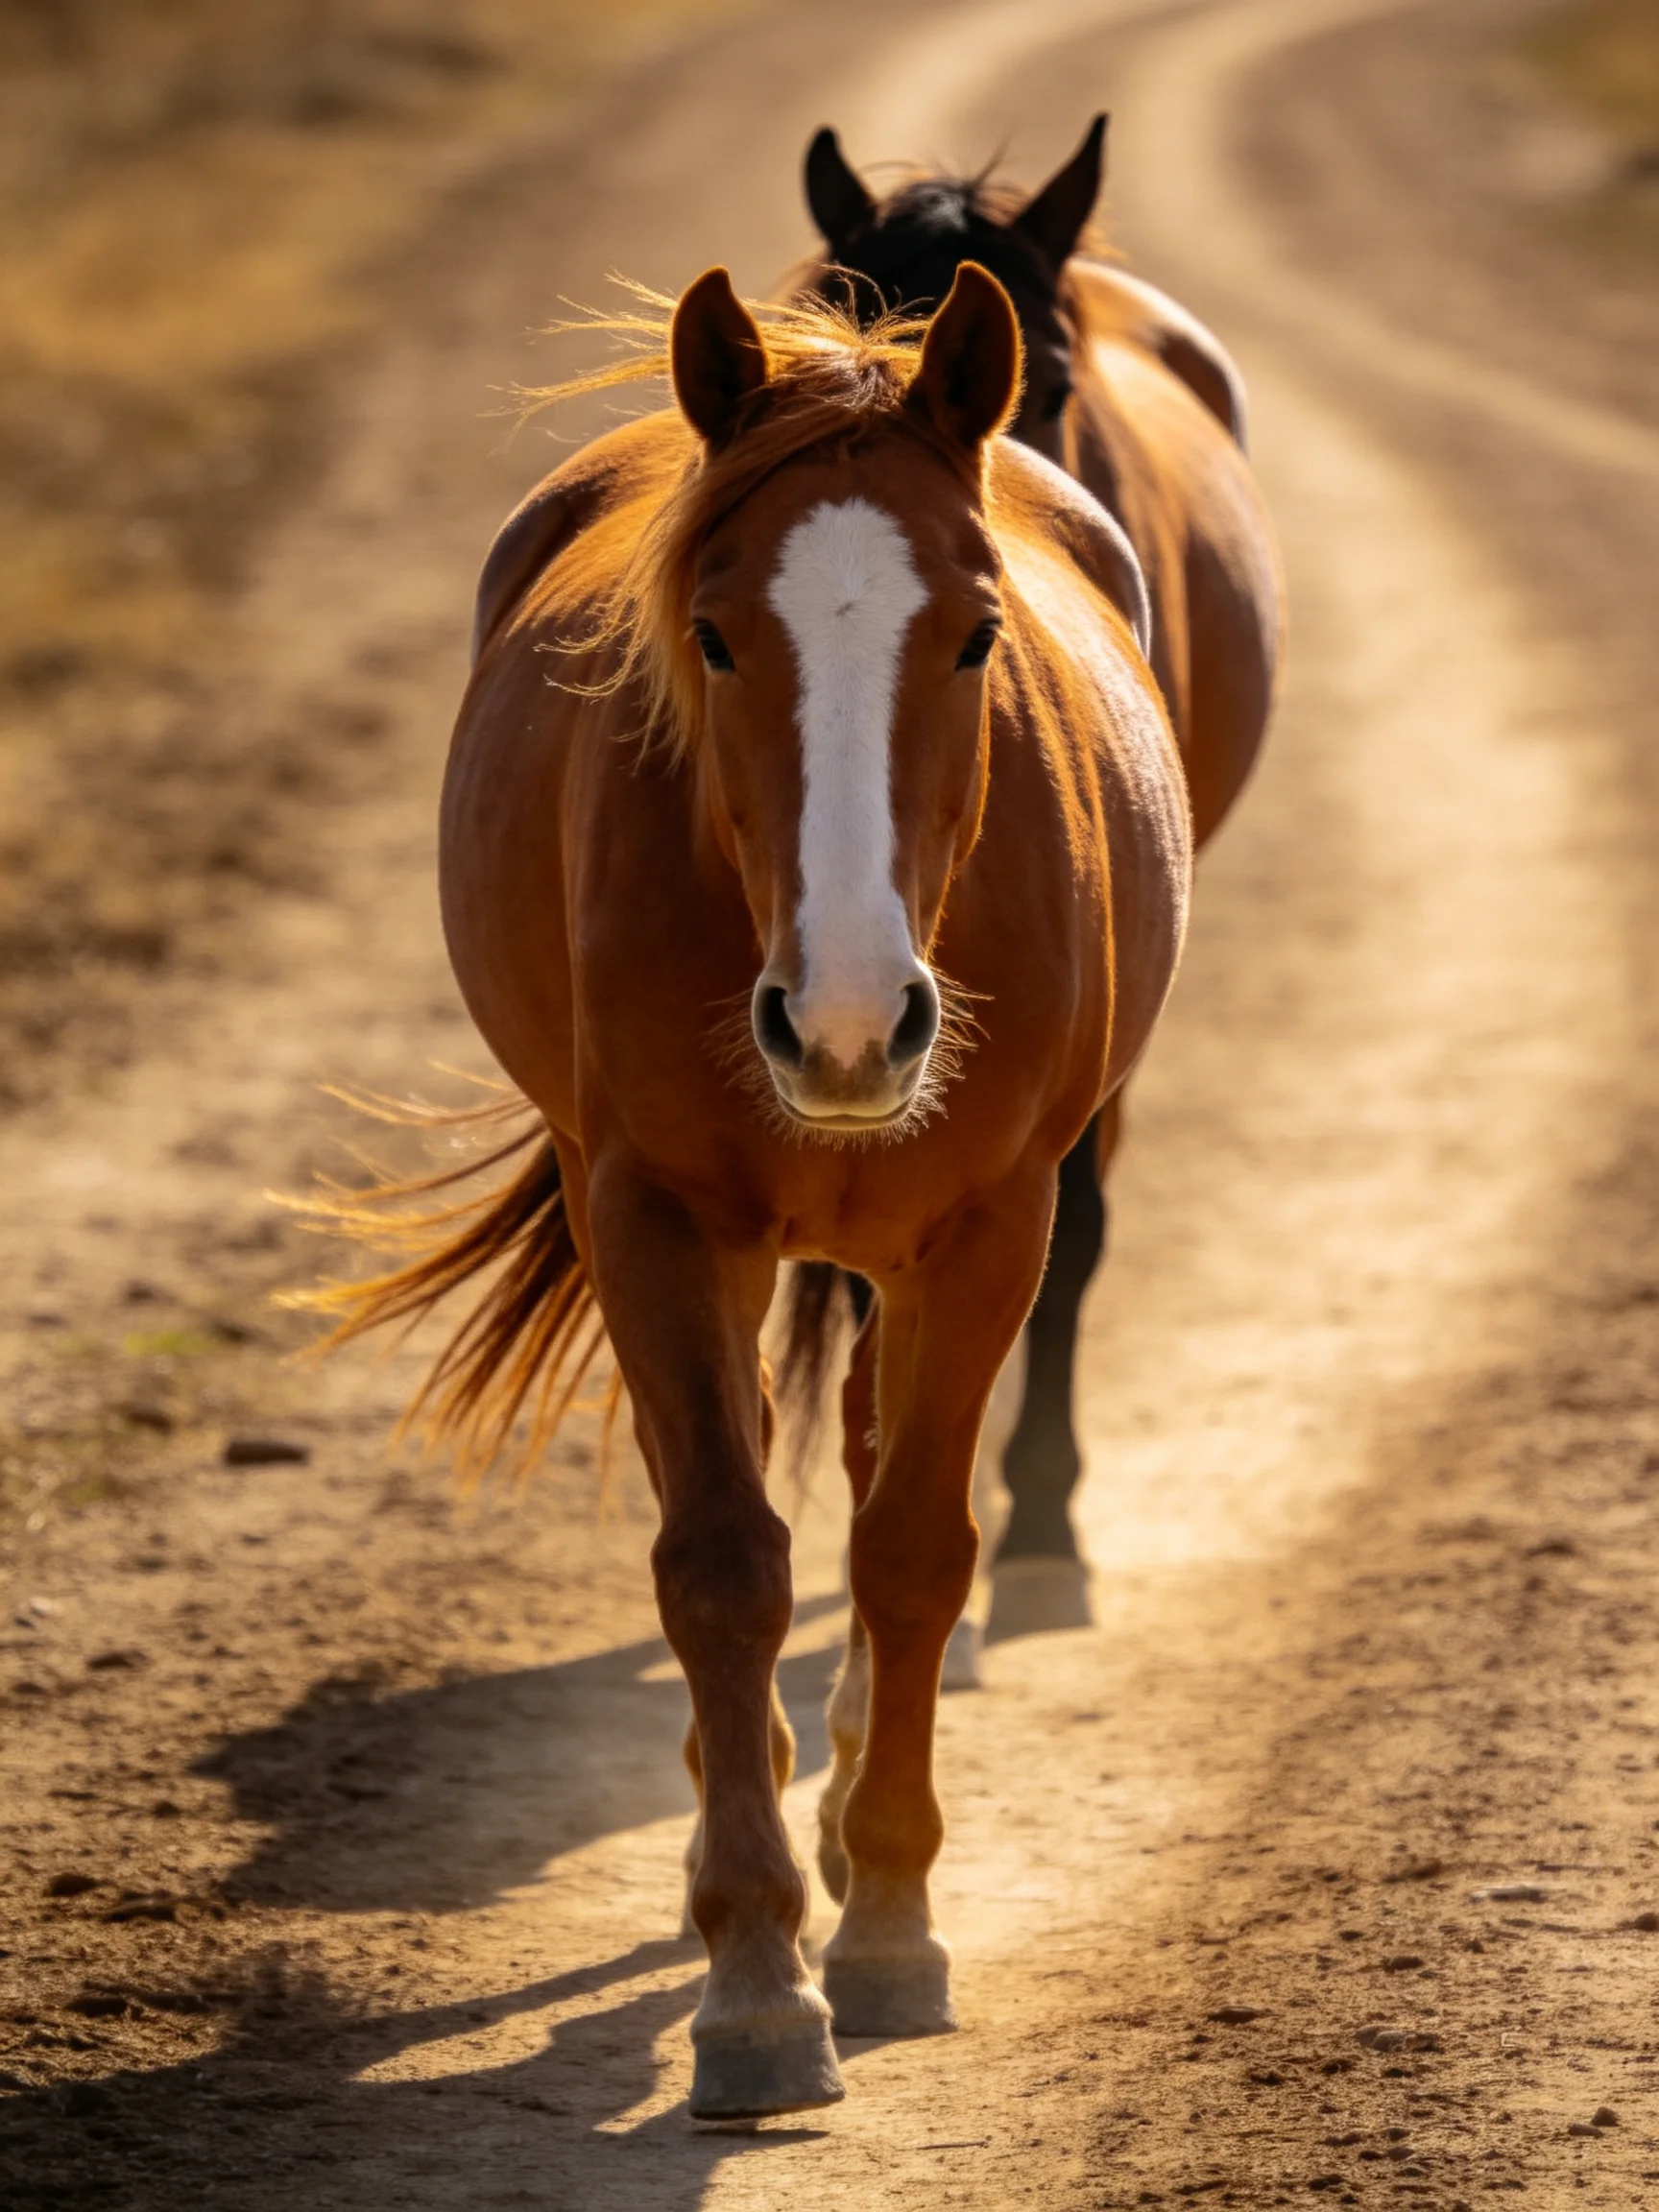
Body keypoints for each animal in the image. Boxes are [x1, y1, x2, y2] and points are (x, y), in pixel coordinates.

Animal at [296, 266, 1192, 2121]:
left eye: (976, 634)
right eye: (713, 636)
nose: (847, 1020)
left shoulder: (989, 1227)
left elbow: (914, 1550)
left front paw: (889, 1921)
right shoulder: (648, 1215)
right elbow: (718, 1561)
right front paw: (759, 1979)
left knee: (861, 1478)